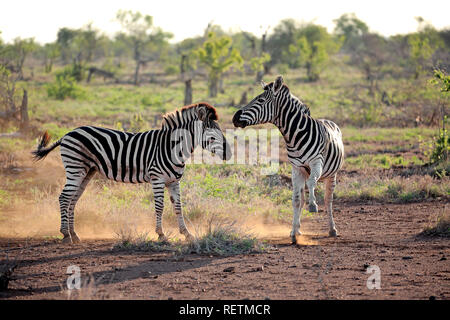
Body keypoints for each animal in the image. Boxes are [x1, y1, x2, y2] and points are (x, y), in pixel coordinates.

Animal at [31, 102, 232, 242]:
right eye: (212, 137)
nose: (229, 154)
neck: (172, 147)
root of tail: (67, 133)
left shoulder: (174, 181)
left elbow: (178, 207)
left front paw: (187, 234)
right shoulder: (157, 178)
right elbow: (160, 206)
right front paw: (161, 234)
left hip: (86, 173)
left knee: (73, 199)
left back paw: (74, 234)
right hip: (75, 169)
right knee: (64, 198)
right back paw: (65, 234)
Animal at [232, 76, 344, 244]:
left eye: (260, 100)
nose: (234, 118)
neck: (295, 135)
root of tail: (329, 121)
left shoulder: (316, 162)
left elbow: (312, 183)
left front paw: (313, 205)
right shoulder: (296, 168)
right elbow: (296, 200)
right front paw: (294, 234)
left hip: (331, 174)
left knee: (328, 200)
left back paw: (332, 229)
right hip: (304, 172)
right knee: (302, 197)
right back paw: (297, 230)